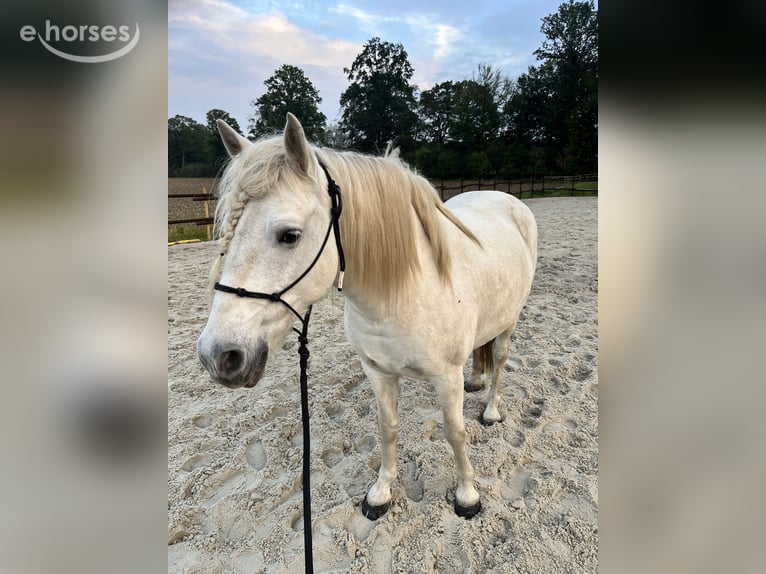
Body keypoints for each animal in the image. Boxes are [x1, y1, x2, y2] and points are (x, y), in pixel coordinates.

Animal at [197, 113, 537, 520]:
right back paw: (476, 381)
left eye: (289, 235)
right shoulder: (378, 372)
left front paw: (467, 496)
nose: (217, 356)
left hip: (509, 322)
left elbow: (455, 432)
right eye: (227, 233)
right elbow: (387, 428)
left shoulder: (446, 377)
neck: (400, 294)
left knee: (499, 360)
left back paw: (491, 411)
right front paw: (381, 493)